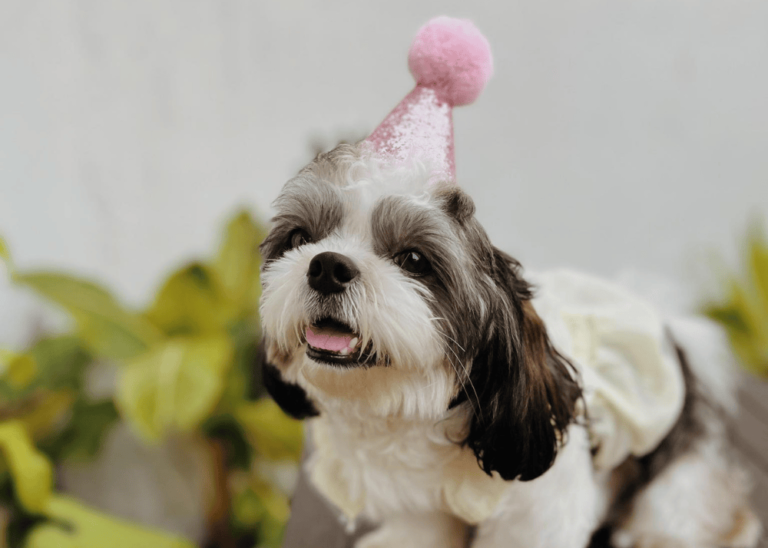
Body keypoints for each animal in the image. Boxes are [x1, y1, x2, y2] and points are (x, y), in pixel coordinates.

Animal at [256, 17, 756, 548]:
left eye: (413, 259)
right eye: (301, 238)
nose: (327, 266)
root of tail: (670, 329)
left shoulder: (538, 508)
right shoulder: (422, 505)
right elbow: (420, 526)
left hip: (673, 479)